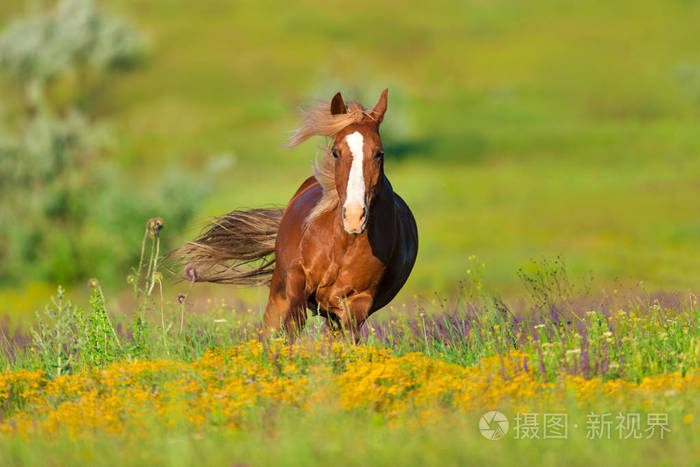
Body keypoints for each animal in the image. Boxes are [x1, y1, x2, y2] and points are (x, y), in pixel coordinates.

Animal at [174, 89, 416, 342]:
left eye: (379, 154)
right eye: (336, 152)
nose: (354, 216)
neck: (341, 244)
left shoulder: (358, 301)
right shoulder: (295, 282)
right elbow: (291, 325)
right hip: (279, 290)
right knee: (271, 327)